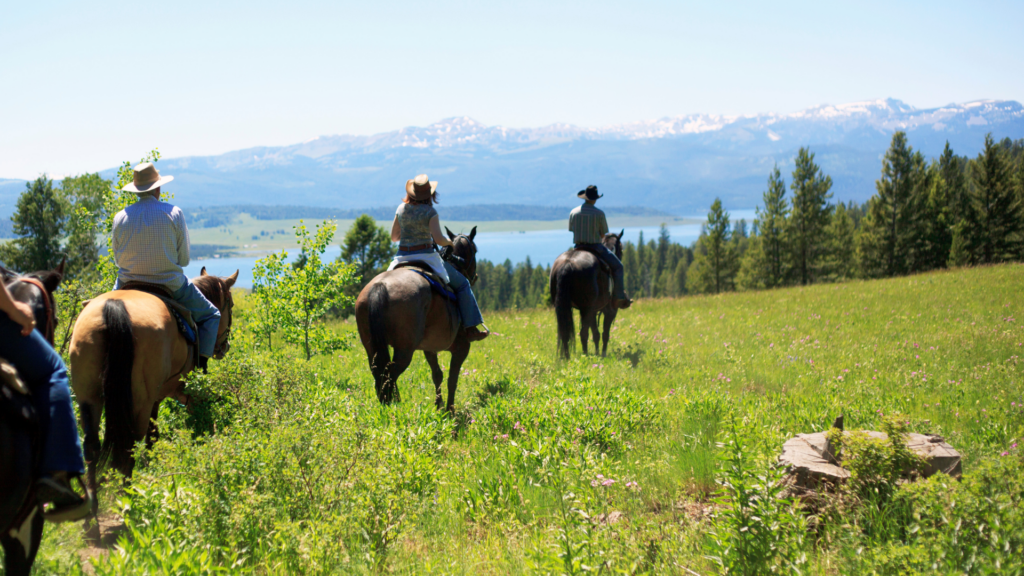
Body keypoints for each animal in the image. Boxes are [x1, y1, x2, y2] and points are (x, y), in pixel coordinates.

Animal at [68, 268, 235, 516]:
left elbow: (153, 432)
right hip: (140, 400)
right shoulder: (163, 392)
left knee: (92, 446)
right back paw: (126, 500)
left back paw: (93, 513)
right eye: (230, 305)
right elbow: (153, 433)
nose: (224, 348)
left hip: (88, 396)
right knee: (128, 446)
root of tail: (113, 308)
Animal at [354, 226, 477, 409]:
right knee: (390, 376)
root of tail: (380, 286)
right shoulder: (462, 347)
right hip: (405, 349)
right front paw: (450, 410)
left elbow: (437, 375)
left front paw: (439, 406)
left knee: (380, 375)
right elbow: (452, 379)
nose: (475, 277)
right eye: (475, 250)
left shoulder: (430, 348)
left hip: (372, 347)